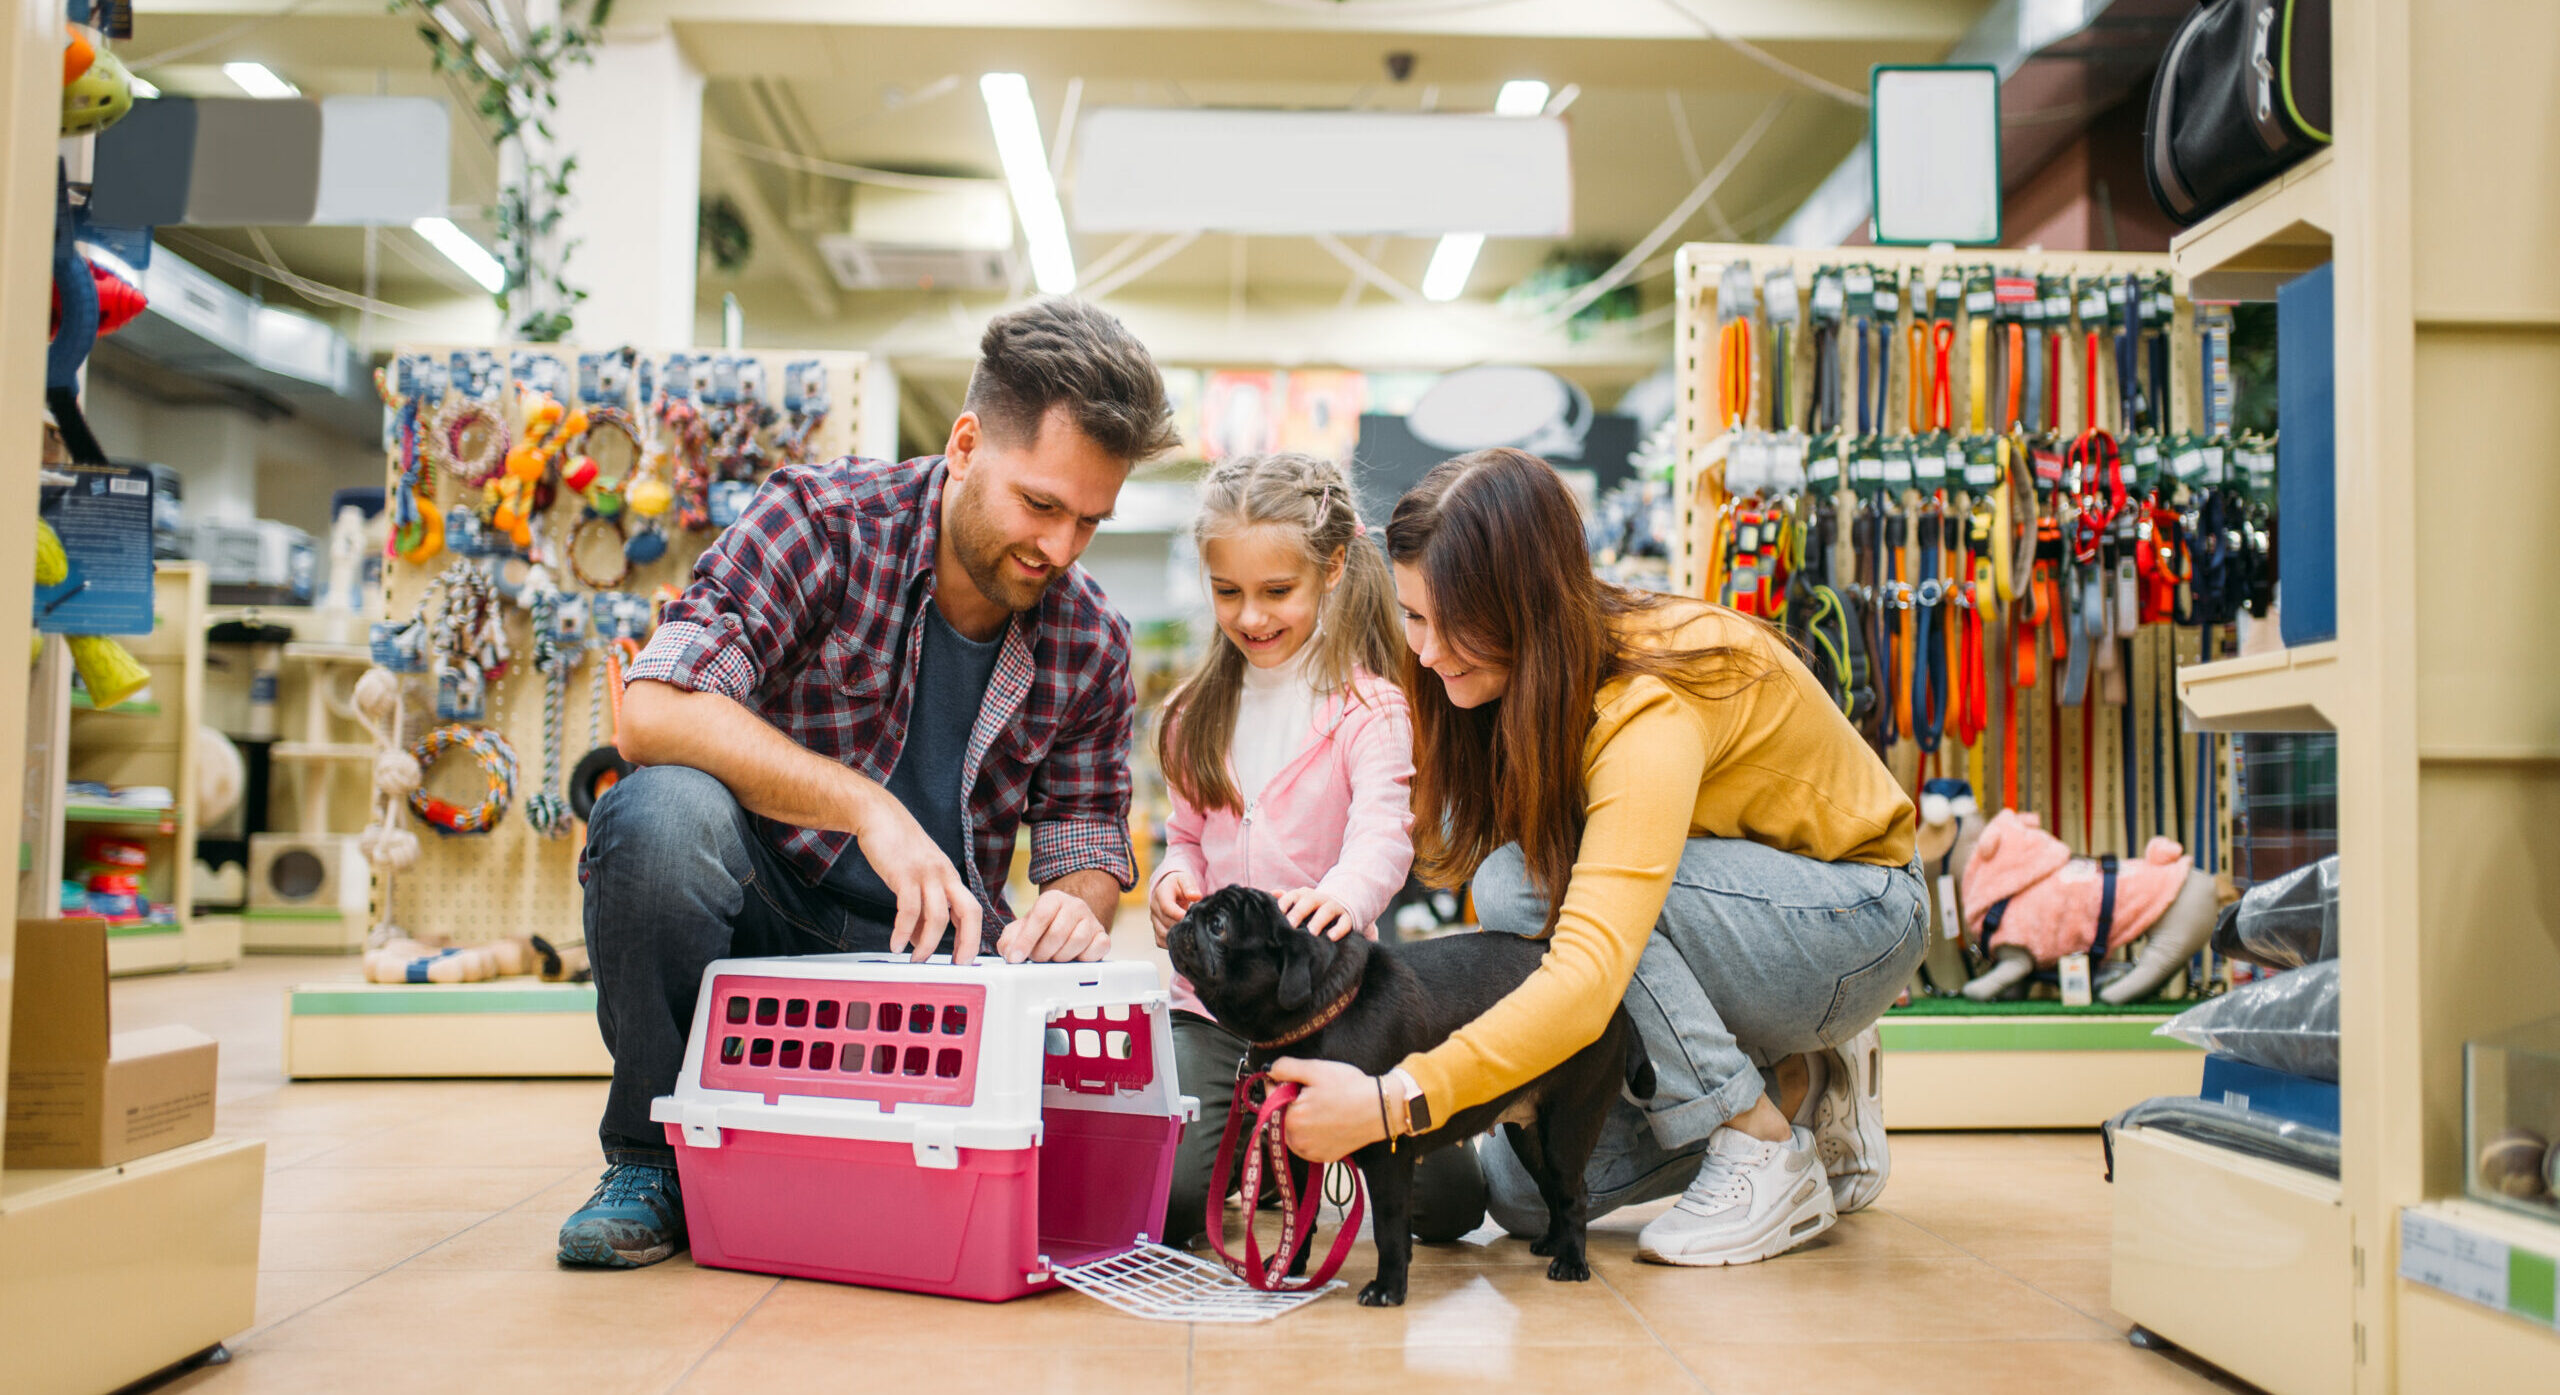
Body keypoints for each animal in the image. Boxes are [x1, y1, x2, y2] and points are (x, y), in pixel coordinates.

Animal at [1167, 880, 1648, 1305]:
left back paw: (1571, 1262)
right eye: (1198, 910)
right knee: (1552, 1191)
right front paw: (1288, 1268)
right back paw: (1551, 1242)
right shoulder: (1296, 1150)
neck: (1322, 1015)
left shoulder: (1387, 1156)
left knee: (1573, 1193)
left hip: (1566, 1125)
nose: (1186, 915)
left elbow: (1389, 1229)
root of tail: (1616, 1003)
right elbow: (1297, 1217)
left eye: (1218, 926)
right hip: (1530, 1136)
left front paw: (1389, 1290)